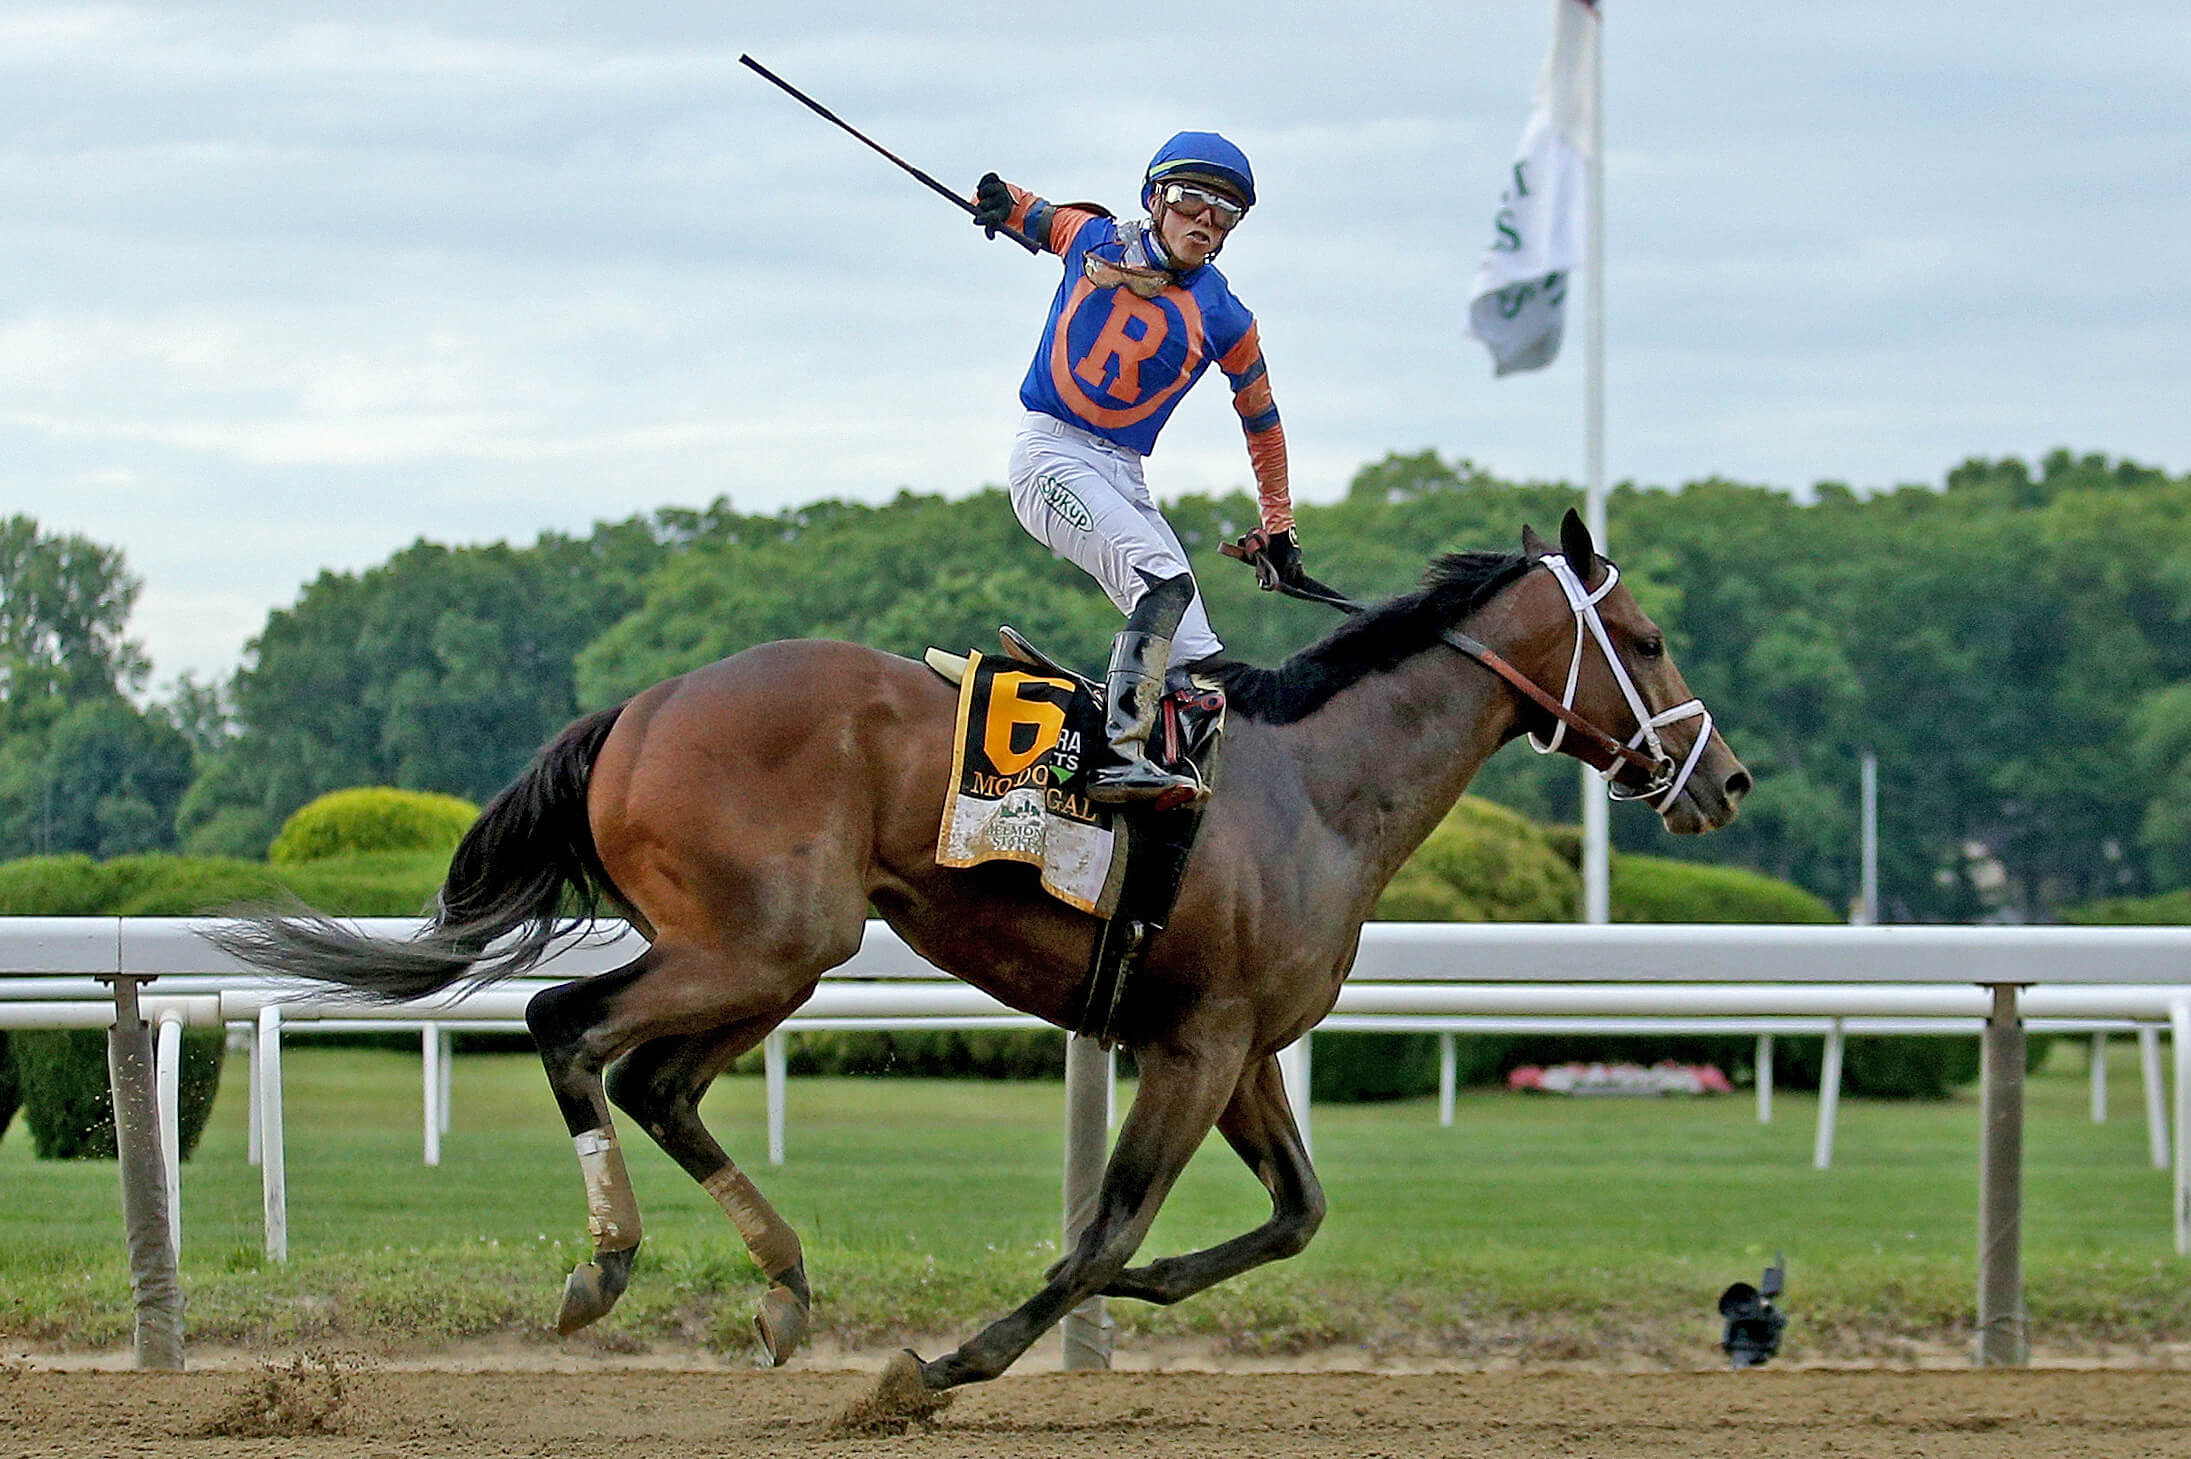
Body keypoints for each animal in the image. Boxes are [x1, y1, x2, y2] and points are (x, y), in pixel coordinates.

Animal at [209, 508, 1744, 1410]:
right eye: (1650, 636)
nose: (1722, 777)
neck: (1314, 787)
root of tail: (641, 705)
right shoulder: (1191, 1046)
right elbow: (1105, 1225)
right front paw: (945, 1363)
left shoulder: (1235, 1043)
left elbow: (1291, 1215)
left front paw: (1130, 1296)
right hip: (764, 937)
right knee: (567, 1025)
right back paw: (608, 1263)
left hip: (770, 953)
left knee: (654, 1080)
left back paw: (783, 1282)